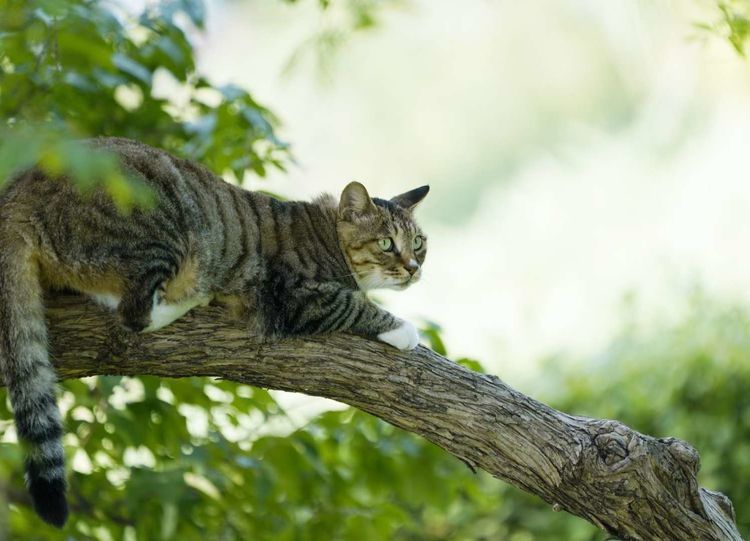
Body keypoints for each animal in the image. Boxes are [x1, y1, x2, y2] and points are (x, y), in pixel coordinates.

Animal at [0, 136, 432, 528]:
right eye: (386, 243)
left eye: (418, 243)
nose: (413, 269)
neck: (329, 235)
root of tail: (23, 189)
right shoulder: (294, 296)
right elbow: (355, 304)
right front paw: (403, 330)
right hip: (163, 233)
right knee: (134, 311)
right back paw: (191, 297)